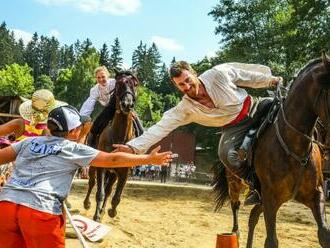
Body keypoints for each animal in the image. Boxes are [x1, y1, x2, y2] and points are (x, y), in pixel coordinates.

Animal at [214, 52, 330, 248]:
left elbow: (324, 235)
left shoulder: (316, 195)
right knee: (236, 207)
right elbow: (271, 241)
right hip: (236, 184)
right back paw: (235, 232)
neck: (293, 145)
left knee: (253, 216)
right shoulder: (270, 198)